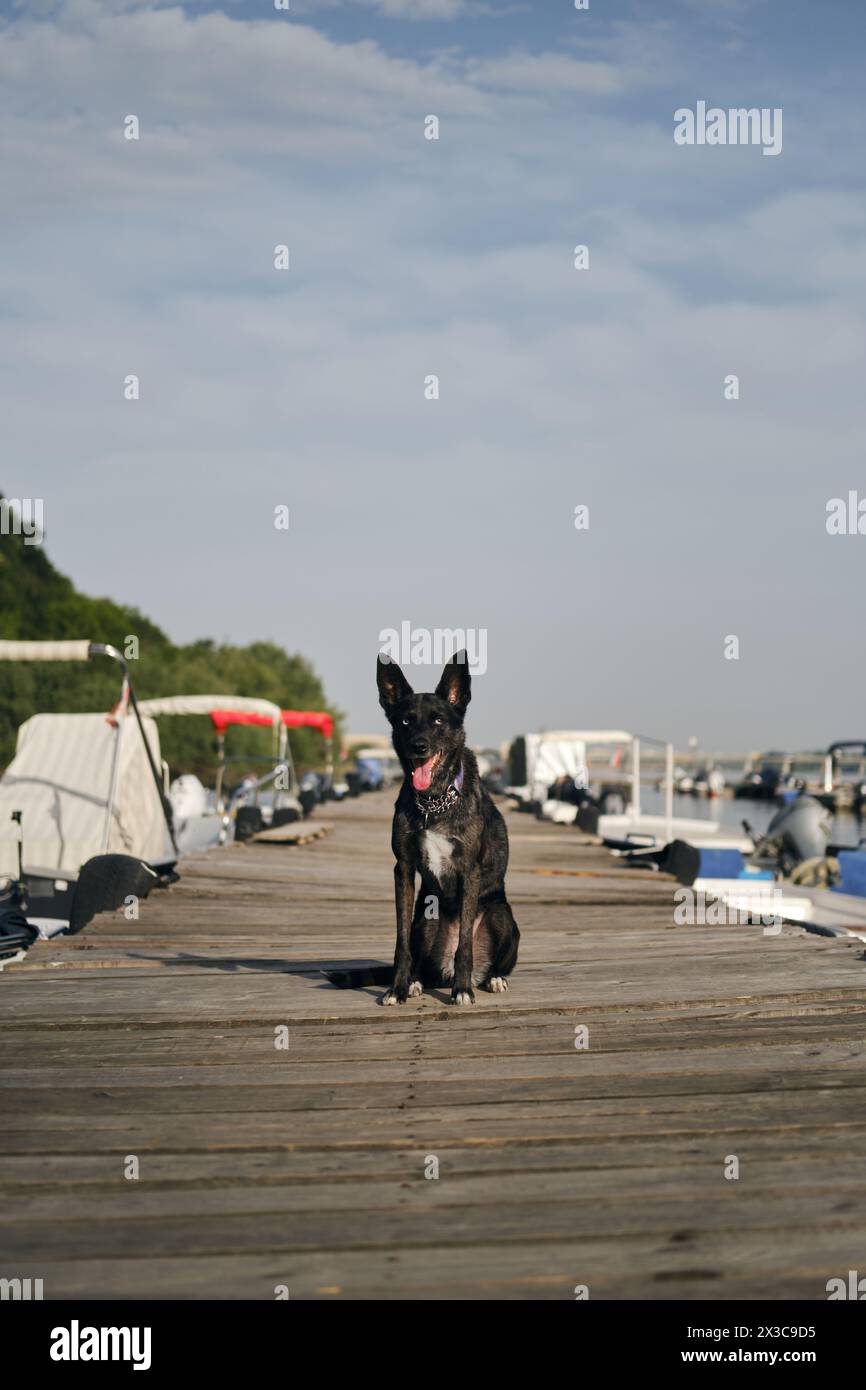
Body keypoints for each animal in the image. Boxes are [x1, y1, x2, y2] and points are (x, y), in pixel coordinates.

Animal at [375, 644, 522, 1006]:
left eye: (438, 720)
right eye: (405, 721)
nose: (419, 746)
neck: (434, 802)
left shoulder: (469, 870)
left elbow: (465, 944)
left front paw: (462, 990)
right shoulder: (403, 868)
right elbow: (400, 942)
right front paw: (398, 988)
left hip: (502, 915)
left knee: (492, 958)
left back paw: (492, 978)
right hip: (425, 920)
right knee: (419, 955)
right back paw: (416, 981)